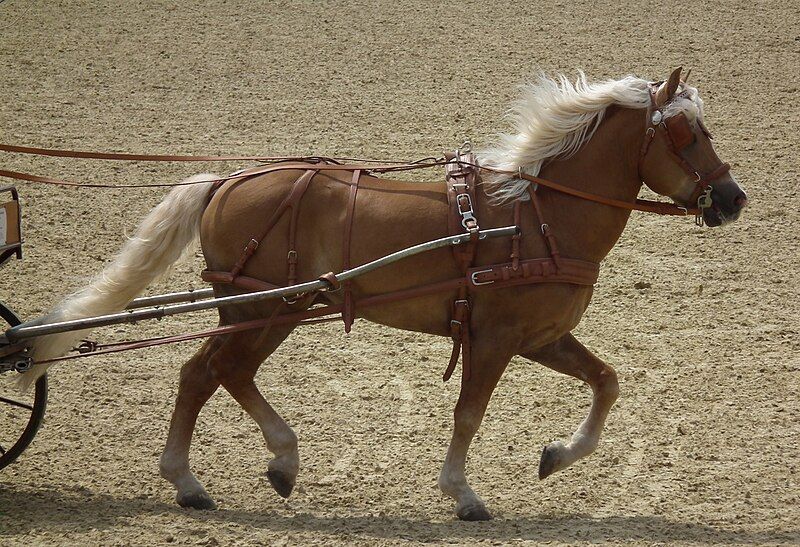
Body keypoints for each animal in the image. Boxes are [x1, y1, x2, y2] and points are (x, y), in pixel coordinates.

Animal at [21, 68, 748, 524]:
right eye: (687, 134)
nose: (734, 198)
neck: (535, 214)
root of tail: (230, 179)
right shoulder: (493, 340)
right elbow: (468, 414)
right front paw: (462, 493)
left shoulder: (540, 337)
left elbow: (606, 381)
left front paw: (556, 456)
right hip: (258, 307)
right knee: (203, 373)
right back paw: (190, 478)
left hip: (278, 310)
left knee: (224, 373)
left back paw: (279, 461)